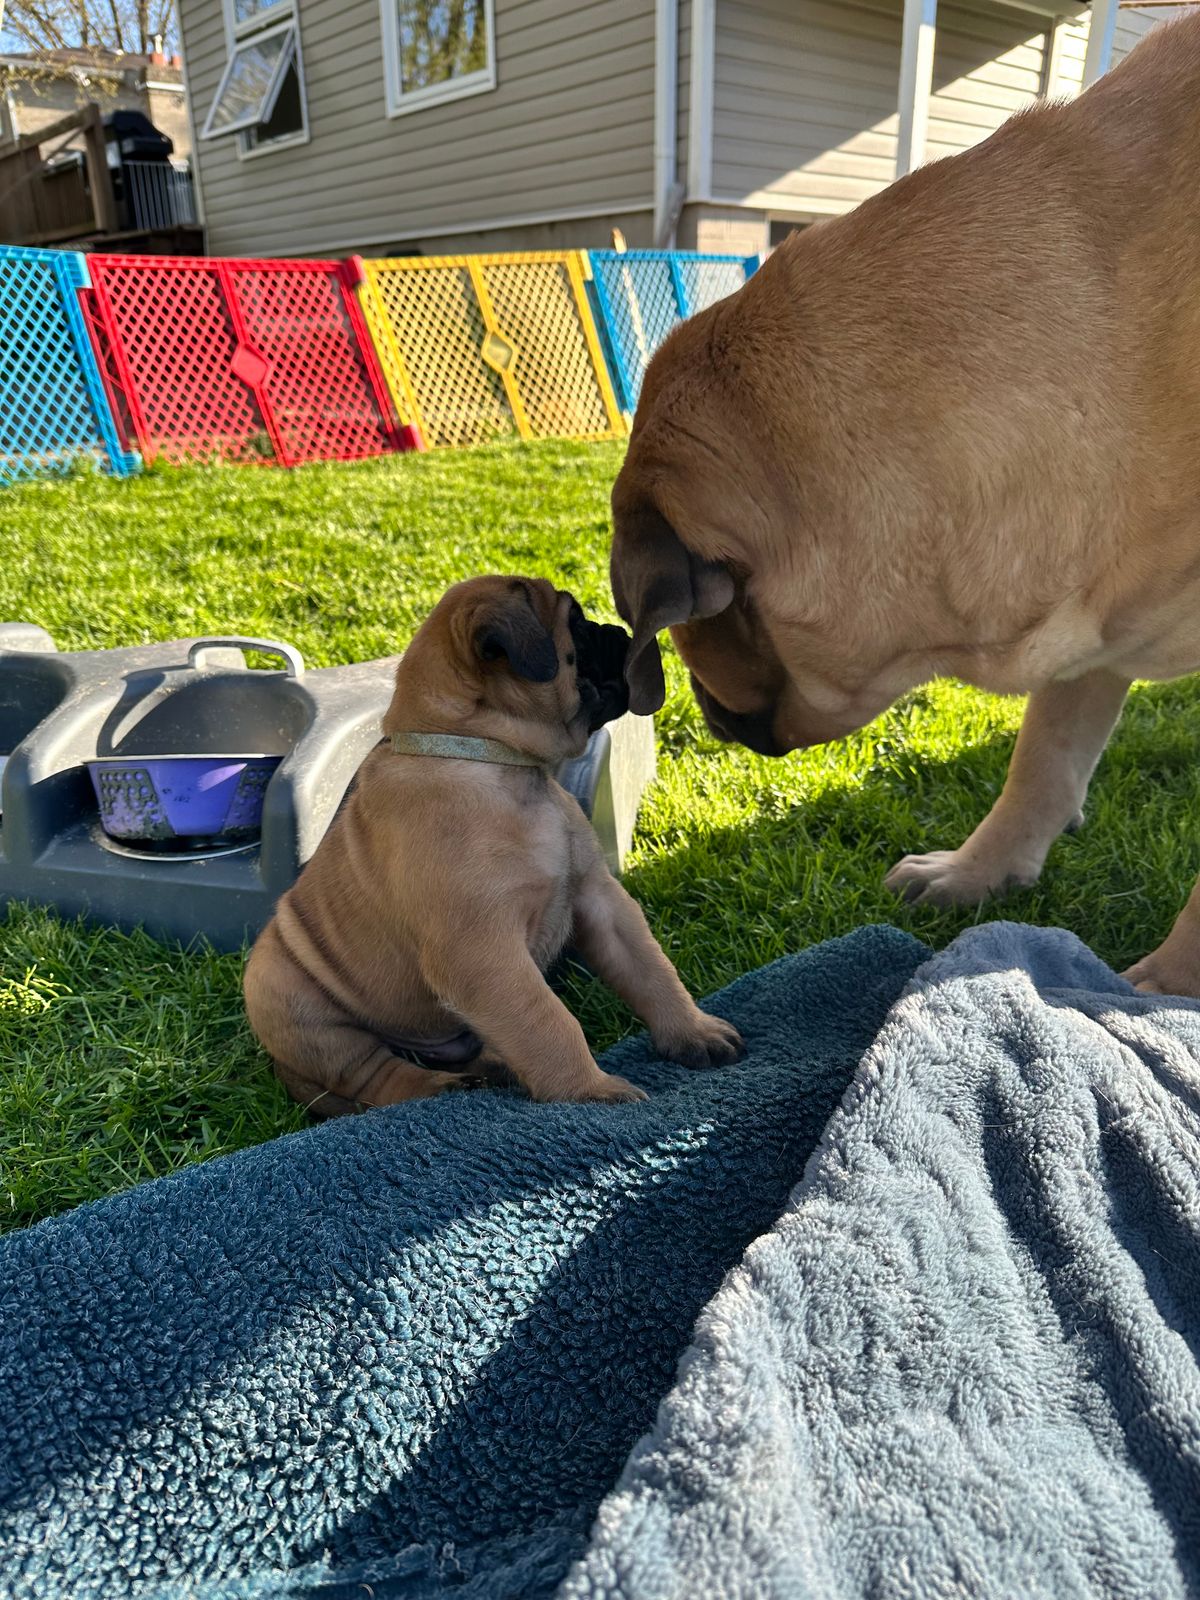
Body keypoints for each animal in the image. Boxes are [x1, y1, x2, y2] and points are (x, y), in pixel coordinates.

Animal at [244, 576, 744, 1115]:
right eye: (577, 624)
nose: (620, 632)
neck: (495, 761)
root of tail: (287, 1073)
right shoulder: (483, 951)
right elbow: (547, 1020)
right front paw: (588, 1094)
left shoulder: (601, 901)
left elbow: (651, 971)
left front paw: (693, 1032)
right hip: (302, 1008)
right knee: (378, 1079)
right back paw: (440, 1087)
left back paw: (494, 1069)